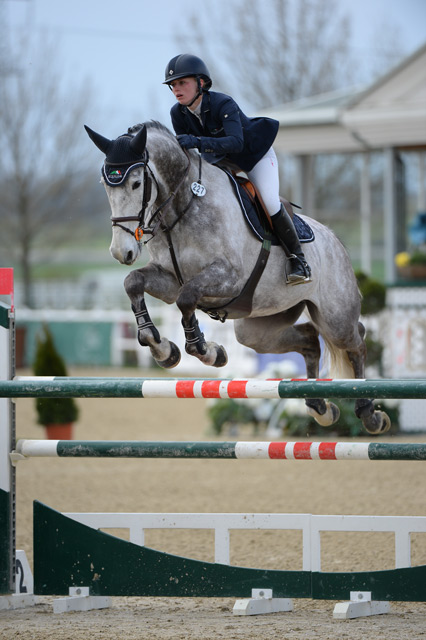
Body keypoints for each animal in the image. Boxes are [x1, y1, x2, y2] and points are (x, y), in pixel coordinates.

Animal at [85, 120, 390, 436]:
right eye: (106, 185)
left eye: (136, 183)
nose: (122, 252)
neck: (182, 208)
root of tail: (335, 240)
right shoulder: (169, 279)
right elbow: (133, 282)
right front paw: (162, 348)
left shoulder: (229, 279)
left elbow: (187, 299)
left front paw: (207, 351)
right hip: (258, 328)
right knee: (308, 339)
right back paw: (320, 407)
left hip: (335, 318)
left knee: (357, 341)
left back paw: (369, 413)